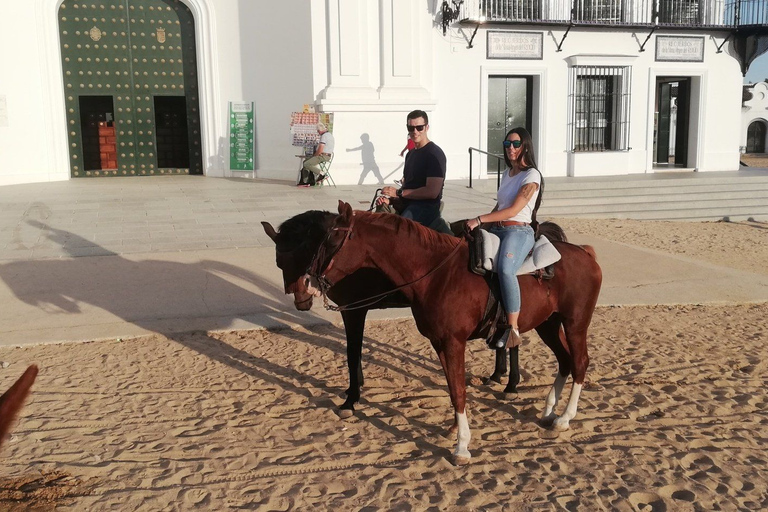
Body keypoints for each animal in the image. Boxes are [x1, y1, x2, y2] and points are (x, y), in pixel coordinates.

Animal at [298, 202, 600, 466]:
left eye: (332, 241)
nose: (307, 282)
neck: (437, 274)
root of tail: (585, 253)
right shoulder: (440, 343)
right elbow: (453, 388)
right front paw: (455, 430)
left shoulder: (454, 342)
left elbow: (459, 390)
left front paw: (462, 447)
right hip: (548, 324)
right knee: (565, 361)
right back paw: (549, 412)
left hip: (575, 323)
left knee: (580, 362)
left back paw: (565, 418)